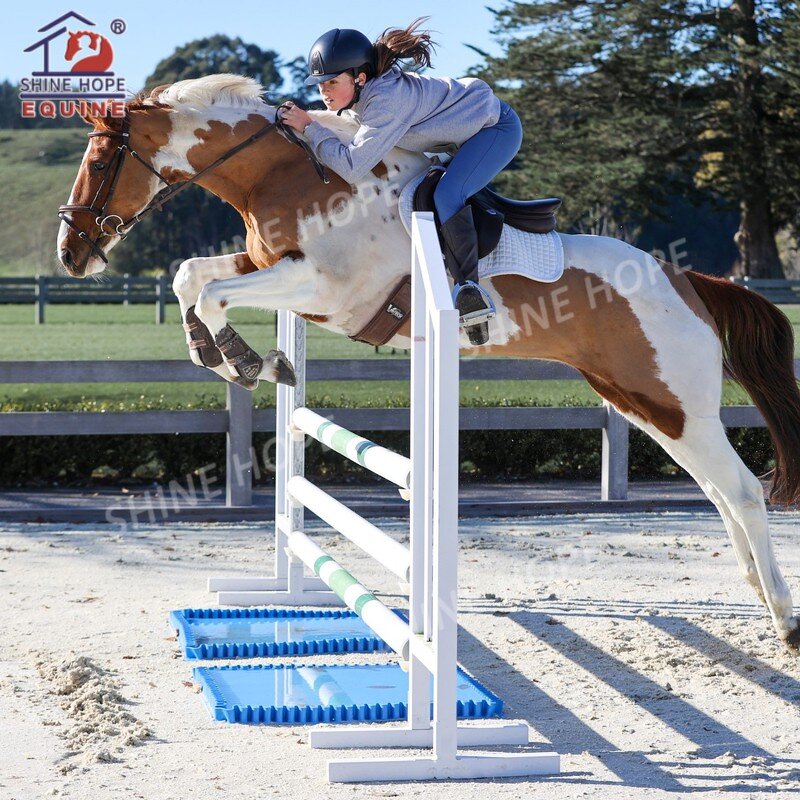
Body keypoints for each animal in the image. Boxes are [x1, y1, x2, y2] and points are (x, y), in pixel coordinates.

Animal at [57, 74, 800, 648]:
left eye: (99, 163)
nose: (70, 254)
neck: (290, 175)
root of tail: (690, 281)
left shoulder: (323, 291)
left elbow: (208, 289)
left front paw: (247, 361)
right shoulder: (270, 267)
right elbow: (191, 277)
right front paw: (231, 357)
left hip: (677, 402)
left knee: (741, 489)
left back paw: (784, 620)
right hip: (645, 403)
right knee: (716, 490)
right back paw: (757, 591)